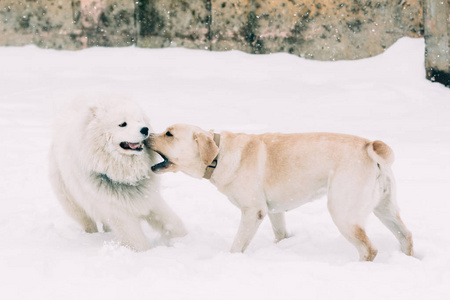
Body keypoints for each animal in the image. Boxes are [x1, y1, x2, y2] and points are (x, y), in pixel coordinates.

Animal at [49, 96, 188, 251]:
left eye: (139, 120)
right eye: (123, 124)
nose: (145, 129)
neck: (125, 175)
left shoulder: (150, 199)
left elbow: (172, 223)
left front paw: (183, 239)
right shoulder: (118, 212)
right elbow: (136, 239)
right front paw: (145, 252)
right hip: (73, 201)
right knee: (87, 220)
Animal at [147, 124, 412, 260]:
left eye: (169, 134)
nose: (147, 133)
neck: (218, 155)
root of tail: (370, 146)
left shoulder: (253, 211)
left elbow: (237, 246)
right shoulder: (275, 211)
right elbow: (281, 234)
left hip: (343, 212)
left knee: (369, 249)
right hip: (385, 209)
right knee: (405, 236)